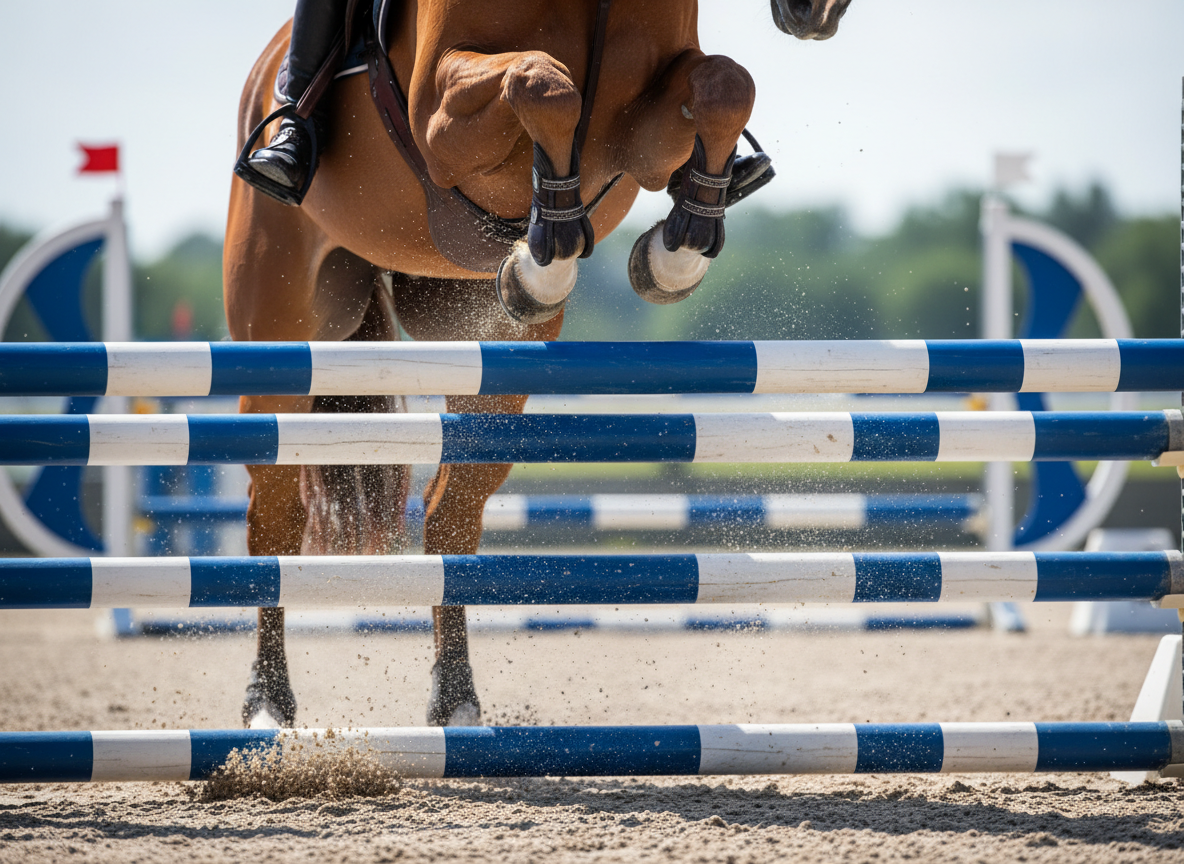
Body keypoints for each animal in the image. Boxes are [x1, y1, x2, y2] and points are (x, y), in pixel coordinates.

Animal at [224, 0, 853, 728]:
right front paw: (545, 253)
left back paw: (456, 699)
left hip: (478, 360)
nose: (818, 16)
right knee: (273, 515)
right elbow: (543, 84)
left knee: (449, 517)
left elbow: (724, 83)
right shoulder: (438, 120)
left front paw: (672, 253)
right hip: (281, 329)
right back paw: (268, 704)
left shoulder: (640, 138)